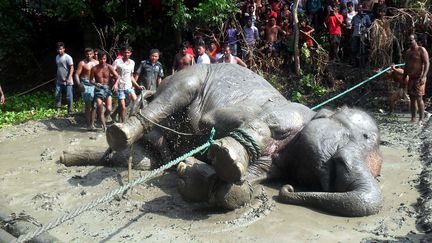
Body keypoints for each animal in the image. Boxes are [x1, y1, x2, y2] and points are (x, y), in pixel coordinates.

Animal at [106, 63, 384, 216]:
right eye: (361, 136)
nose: (288, 189)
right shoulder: (288, 111)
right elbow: (256, 125)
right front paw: (226, 158)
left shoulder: (274, 164)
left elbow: (239, 186)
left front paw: (191, 171)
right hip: (191, 75)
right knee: (175, 94)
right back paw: (121, 135)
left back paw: (168, 161)